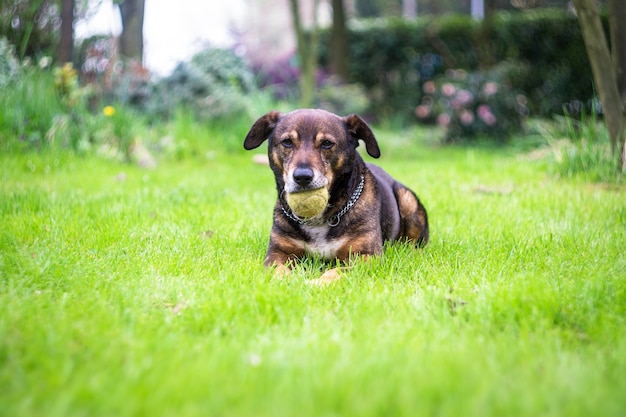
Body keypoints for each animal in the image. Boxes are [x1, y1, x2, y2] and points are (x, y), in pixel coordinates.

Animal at [244, 108, 428, 282]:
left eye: (327, 143)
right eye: (287, 142)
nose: (302, 177)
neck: (319, 220)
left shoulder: (366, 256)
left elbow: (336, 271)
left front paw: (318, 283)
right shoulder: (277, 252)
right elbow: (278, 270)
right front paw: (288, 281)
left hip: (407, 200)